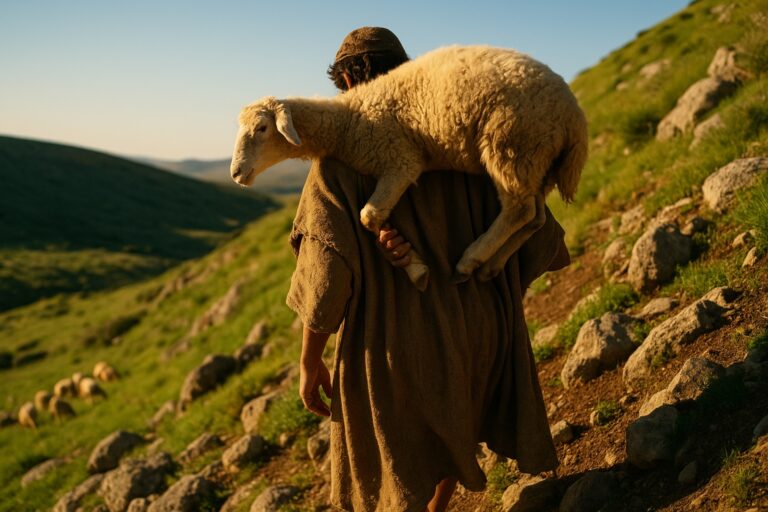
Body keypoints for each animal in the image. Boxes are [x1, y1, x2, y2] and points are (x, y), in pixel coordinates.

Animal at [231, 45, 587, 286]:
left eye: (261, 128)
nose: (235, 174)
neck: (349, 121)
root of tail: (575, 119)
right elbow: (374, 218)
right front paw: (410, 260)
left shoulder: (401, 161)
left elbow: (368, 215)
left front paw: (415, 267)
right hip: (536, 159)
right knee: (535, 217)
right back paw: (490, 266)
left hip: (511, 144)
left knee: (518, 211)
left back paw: (470, 259)